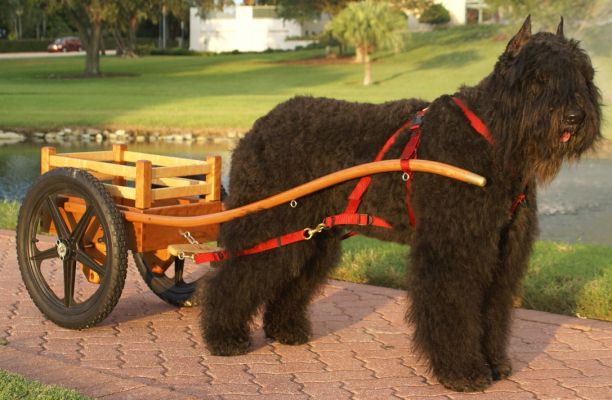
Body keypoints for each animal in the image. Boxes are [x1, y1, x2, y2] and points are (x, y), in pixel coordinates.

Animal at [200, 17, 596, 392]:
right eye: (538, 77)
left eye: (582, 73)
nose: (575, 117)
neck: (491, 139)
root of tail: (258, 126)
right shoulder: (454, 250)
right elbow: (453, 308)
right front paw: (463, 372)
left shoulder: (503, 253)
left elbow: (493, 310)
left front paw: (494, 363)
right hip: (270, 225)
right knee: (233, 277)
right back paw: (224, 337)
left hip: (312, 237)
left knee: (291, 279)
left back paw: (285, 328)